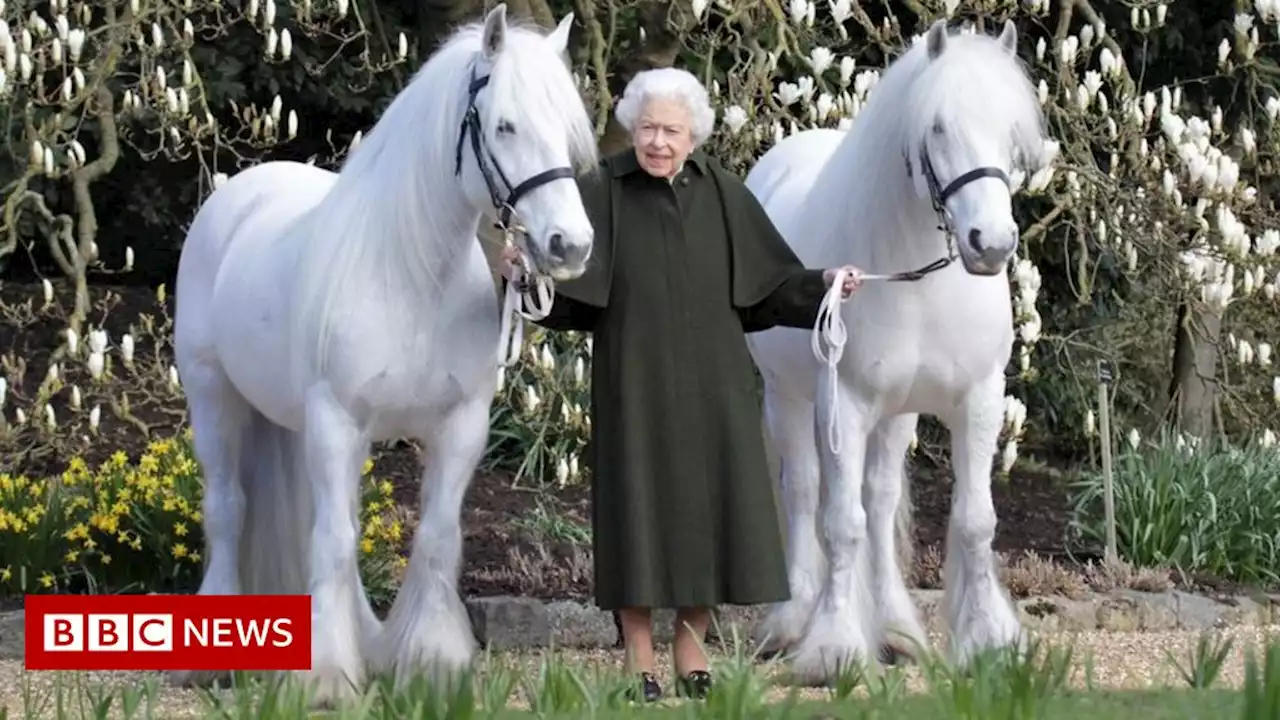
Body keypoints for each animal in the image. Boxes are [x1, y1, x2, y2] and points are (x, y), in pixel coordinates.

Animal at [166, 4, 599, 702]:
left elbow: (435, 538)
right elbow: (334, 541)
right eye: (504, 125)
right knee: (228, 511)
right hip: (215, 399)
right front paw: (325, 676)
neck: (411, 276)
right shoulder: (336, 421)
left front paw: (430, 662)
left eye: (565, 130)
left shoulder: (459, 427)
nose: (571, 245)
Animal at [742, 15, 1049, 676]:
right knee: (804, 491)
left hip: (897, 414)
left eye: (1010, 133)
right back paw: (791, 622)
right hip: (789, 399)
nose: (991, 243)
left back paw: (896, 629)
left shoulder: (979, 400)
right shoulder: (846, 405)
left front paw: (989, 639)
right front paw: (832, 647)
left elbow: (974, 520)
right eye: (937, 127)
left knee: (880, 501)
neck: (919, 280)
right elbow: (840, 524)